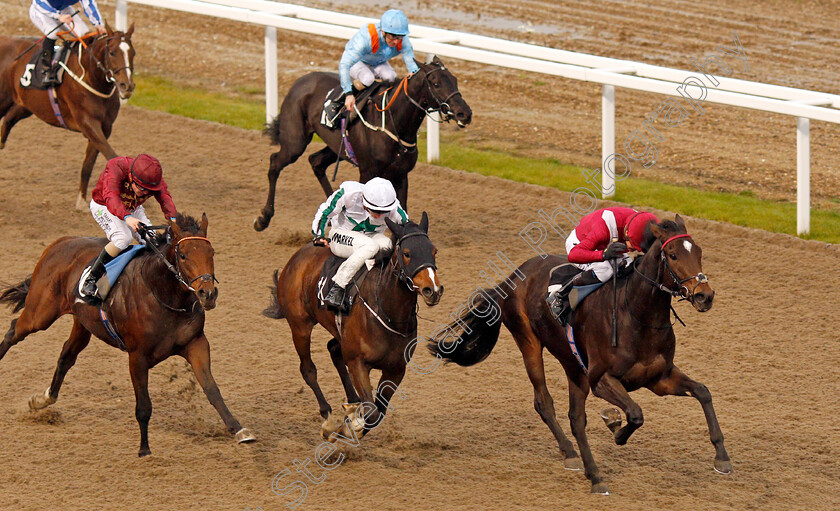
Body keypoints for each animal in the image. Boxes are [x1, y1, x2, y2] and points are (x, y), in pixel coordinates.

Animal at [0, 23, 134, 209]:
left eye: (133, 52)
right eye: (112, 52)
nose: (127, 86)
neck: (91, 77)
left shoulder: (105, 128)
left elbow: (88, 166)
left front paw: (81, 202)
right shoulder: (87, 123)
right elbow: (111, 155)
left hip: (26, 104)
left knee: (8, 119)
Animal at [0, 214, 256, 458]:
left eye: (211, 252)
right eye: (182, 255)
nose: (207, 294)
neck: (163, 294)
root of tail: (60, 242)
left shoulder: (196, 344)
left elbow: (212, 389)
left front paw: (239, 429)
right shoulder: (137, 357)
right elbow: (143, 406)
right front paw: (144, 449)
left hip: (82, 323)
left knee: (66, 356)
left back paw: (43, 399)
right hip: (40, 314)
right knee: (14, 330)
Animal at [253, 56, 470, 232]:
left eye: (455, 80)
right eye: (436, 83)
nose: (465, 113)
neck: (392, 123)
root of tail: (300, 81)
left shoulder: (401, 175)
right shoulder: (368, 172)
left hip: (337, 148)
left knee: (316, 162)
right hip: (295, 141)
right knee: (275, 162)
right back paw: (264, 217)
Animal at [266, 214, 442, 438]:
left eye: (434, 251)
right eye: (407, 253)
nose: (433, 290)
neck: (389, 314)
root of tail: (296, 258)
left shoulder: (396, 370)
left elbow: (378, 413)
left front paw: (354, 418)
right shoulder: (358, 363)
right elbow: (372, 412)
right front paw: (351, 425)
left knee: (333, 349)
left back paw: (351, 402)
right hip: (300, 326)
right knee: (308, 369)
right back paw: (328, 417)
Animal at [430, 216, 732, 496]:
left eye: (699, 252)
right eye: (673, 255)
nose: (705, 296)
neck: (637, 313)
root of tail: (512, 277)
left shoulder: (659, 377)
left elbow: (703, 392)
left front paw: (722, 458)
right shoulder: (601, 379)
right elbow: (635, 413)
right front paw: (616, 429)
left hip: (573, 365)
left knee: (576, 418)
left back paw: (592, 473)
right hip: (529, 342)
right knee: (544, 403)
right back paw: (577, 458)